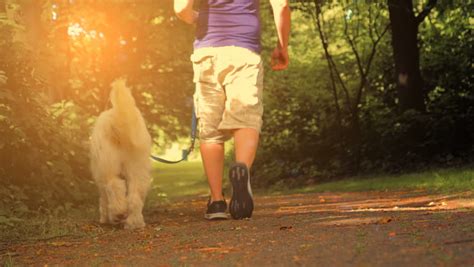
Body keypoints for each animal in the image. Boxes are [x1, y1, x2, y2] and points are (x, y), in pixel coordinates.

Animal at [90, 79, 152, 230]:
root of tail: (117, 119)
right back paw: (134, 222)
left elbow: (104, 200)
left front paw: (105, 217)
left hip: (108, 166)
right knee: (135, 196)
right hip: (137, 167)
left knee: (114, 185)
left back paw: (118, 213)